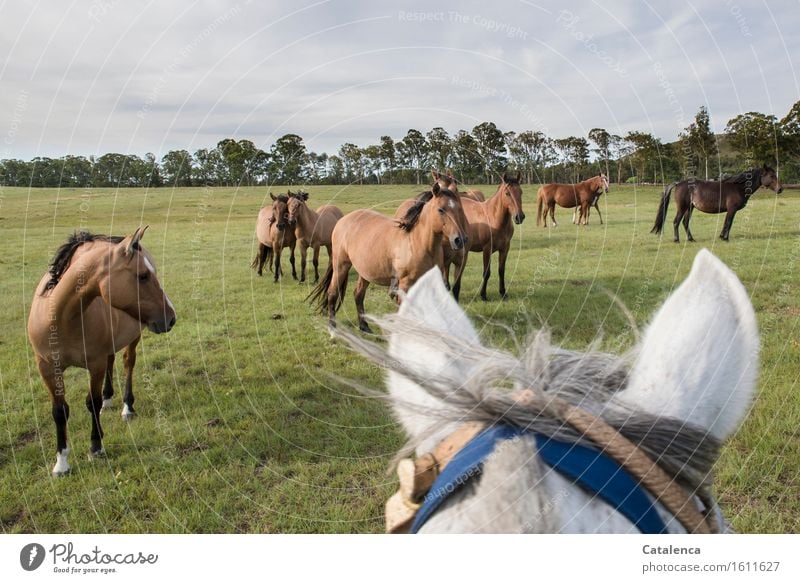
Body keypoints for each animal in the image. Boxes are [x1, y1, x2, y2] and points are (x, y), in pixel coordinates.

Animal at [27, 226, 176, 476]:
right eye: (143, 276)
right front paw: (61, 463)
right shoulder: (47, 367)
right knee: (112, 360)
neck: (62, 319)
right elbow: (59, 411)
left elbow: (91, 403)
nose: (171, 317)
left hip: (134, 336)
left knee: (127, 362)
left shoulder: (94, 365)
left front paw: (96, 447)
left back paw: (127, 407)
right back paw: (109, 399)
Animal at [308, 185, 468, 336]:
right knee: (332, 293)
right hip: (340, 265)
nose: (459, 240)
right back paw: (333, 329)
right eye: (441, 209)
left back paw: (364, 327)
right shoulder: (404, 284)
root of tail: (342, 220)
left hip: (364, 272)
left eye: (459, 209)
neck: (417, 242)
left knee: (358, 294)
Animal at [446, 172, 528, 302]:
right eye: (507, 193)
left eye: (520, 192)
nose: (519, 217)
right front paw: (483, 295)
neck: (494, 218)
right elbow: (486, 272)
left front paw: (503, 293)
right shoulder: (487, 249)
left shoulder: (505, 248)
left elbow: (501, 271)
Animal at [648, 165, 780, 243]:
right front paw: (725, 238)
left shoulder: (732, 211)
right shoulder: (731, 209)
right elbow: (728, 223)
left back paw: (691, 239)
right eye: (771, 175)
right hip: (682, 207)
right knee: (676, 222)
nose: (780, 189)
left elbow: (728, 223)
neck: (738, 187)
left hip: (690, 208)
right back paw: (677, 240)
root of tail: (678, 183)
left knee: (685, 222)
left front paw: (723, 237)